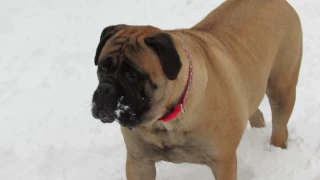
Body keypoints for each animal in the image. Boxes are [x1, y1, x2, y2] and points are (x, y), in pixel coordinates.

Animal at [90, 0, 302, 179]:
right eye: (102, 68)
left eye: (132, 74)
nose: (106, 89)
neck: (166, 120)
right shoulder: (139, 162)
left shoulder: (223, 162)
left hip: (281, 88)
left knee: (279, 125)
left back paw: (277, 149)